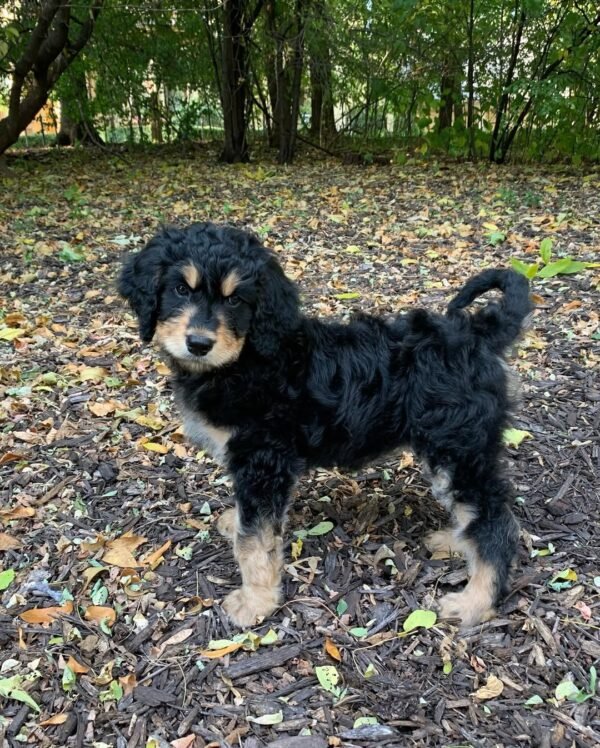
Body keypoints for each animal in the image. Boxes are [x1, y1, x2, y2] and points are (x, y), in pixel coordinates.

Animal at [119, 224, 532, 632]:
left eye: (235, 301)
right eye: (180, 289)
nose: (199, 343)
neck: (247, 358)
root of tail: (478, 333)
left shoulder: (262, 460)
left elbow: (255, 541)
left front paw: (256, 602)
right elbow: (251, 522)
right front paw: (235, 524)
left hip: (456, 446)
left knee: (493, 521)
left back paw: (475, 602)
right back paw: (455, 541)